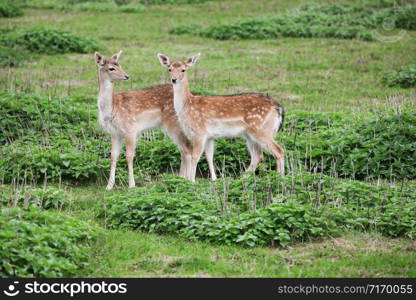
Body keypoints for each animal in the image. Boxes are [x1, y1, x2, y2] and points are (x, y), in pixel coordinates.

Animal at [95, 50, 218, 189]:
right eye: (111, 68)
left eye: (119, 65)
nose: (126, 76)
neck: (112, 109)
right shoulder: (114, 132)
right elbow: (113, 156)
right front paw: (109, 186)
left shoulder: (131, 128)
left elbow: (129, 156)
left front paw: (131, 185)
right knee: (184, 149)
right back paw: (181, 178)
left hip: (175, 124)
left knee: (187, 148)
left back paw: (185, 179)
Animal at [158, 52, 284, 182]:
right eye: (169, 69)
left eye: (183, 69)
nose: (174, 79)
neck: (186, 107)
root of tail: (278, 108)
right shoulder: (209, 136)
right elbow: (209, 156)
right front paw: (214, 179)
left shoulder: (199, 132)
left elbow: (195, 156)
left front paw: (191, 181)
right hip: (250, 134)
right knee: (258, 155)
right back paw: (242, 178)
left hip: (261, 129)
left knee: (279, 150)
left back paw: (280, 178)